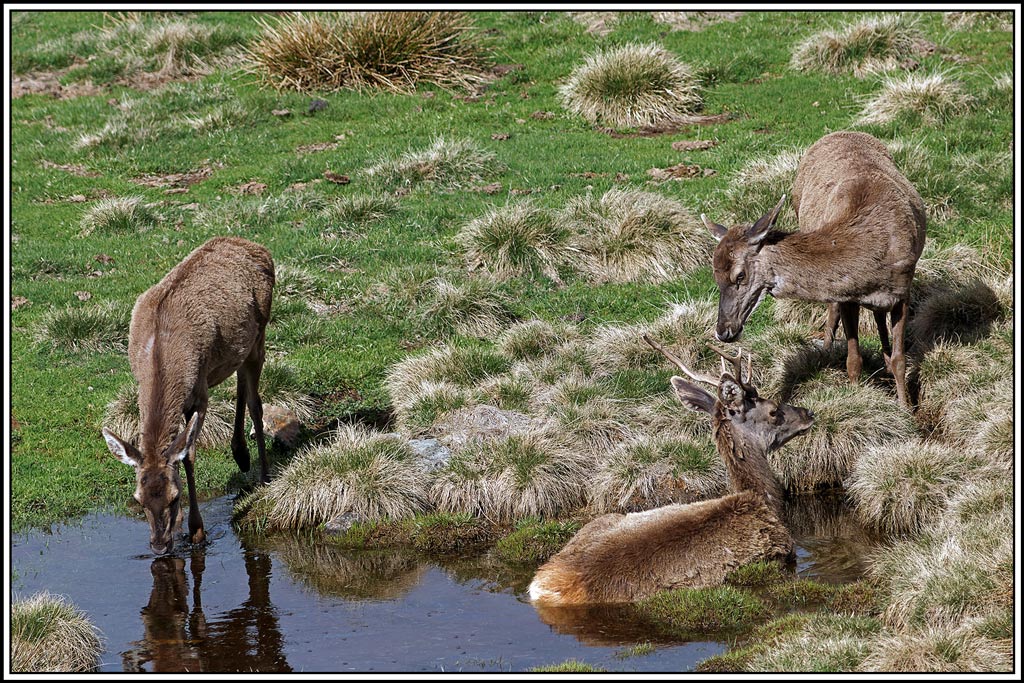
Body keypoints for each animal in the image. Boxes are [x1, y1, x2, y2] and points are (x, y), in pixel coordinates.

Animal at [102, 237, 274, 555]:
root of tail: (254, 246)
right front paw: (181, 527)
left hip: (261, 333)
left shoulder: (199, 393)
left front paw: (196, 530)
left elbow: (189, 455)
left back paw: (263, 476)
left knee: (256, 402)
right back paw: (240, 454)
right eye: (138, 499)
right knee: (240, 381)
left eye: (174, 496)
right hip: (240, 346)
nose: (158, 546)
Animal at [528, 339, 814, 605]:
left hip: (601, 521)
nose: (808, 413)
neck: (764, 501)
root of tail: (540, 586)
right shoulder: (782, 550)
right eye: (773, 411)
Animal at [700, 131, 927, 406]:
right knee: (835, 312)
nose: (723, 331)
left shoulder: (903, 288)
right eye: (715, 277)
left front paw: (906, 408)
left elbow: (899, 359)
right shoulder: (847, 296)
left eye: (740, 275)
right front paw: (856, 397)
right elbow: (854, 360)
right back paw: (827, 350)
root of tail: (838, 132)